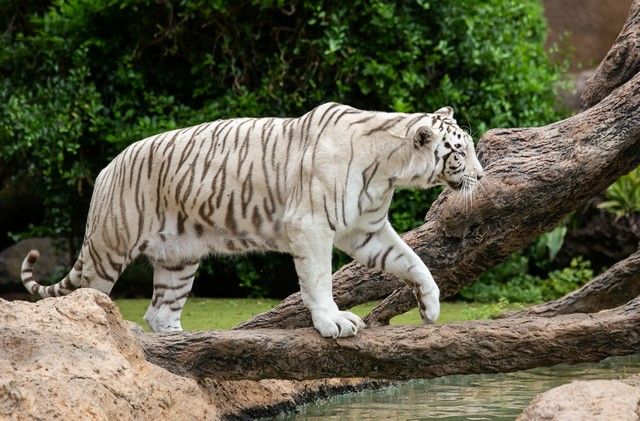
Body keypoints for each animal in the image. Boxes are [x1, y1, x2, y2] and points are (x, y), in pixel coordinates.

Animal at [21, 101, 484, 338]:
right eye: (459, 151)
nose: (481, 177)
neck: (390, 171)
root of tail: (104, 170)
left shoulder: (365, 230)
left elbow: (412, 260)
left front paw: (430, 305)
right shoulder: (310, 225)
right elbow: (319, 280)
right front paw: (332, 322)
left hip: (178, 258)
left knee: (159, 313)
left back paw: (180, 343)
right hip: (108, 250)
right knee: (87, 298)